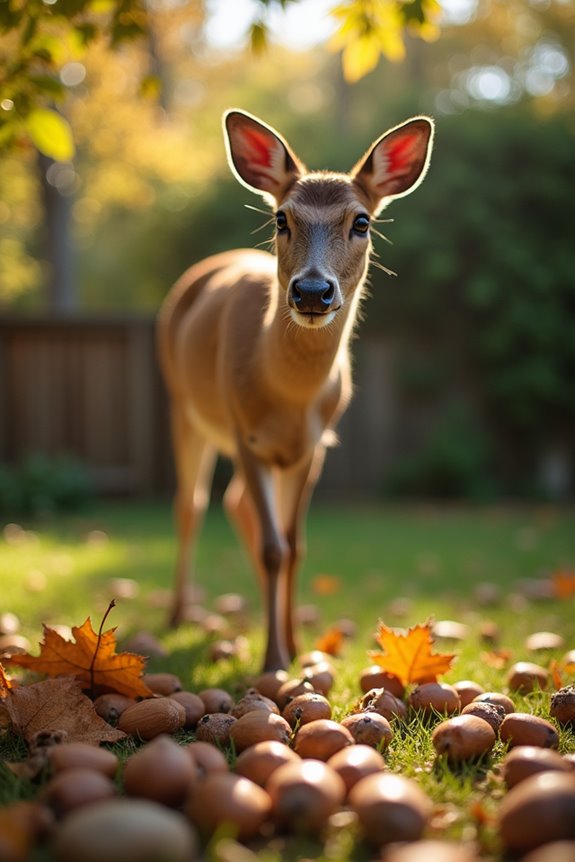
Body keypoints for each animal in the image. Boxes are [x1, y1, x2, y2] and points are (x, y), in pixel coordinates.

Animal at [157, 109, 434, 671]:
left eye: (362, 221)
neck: (287, 397)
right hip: (183, 403)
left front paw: (294, 646)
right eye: (282, 219)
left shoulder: (314, 445)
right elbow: (273, 549)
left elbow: (294, 545)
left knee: (237, 504)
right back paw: (177, 616)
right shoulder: (245, 435)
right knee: (191, 504)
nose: (311, 290)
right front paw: (272, 661)